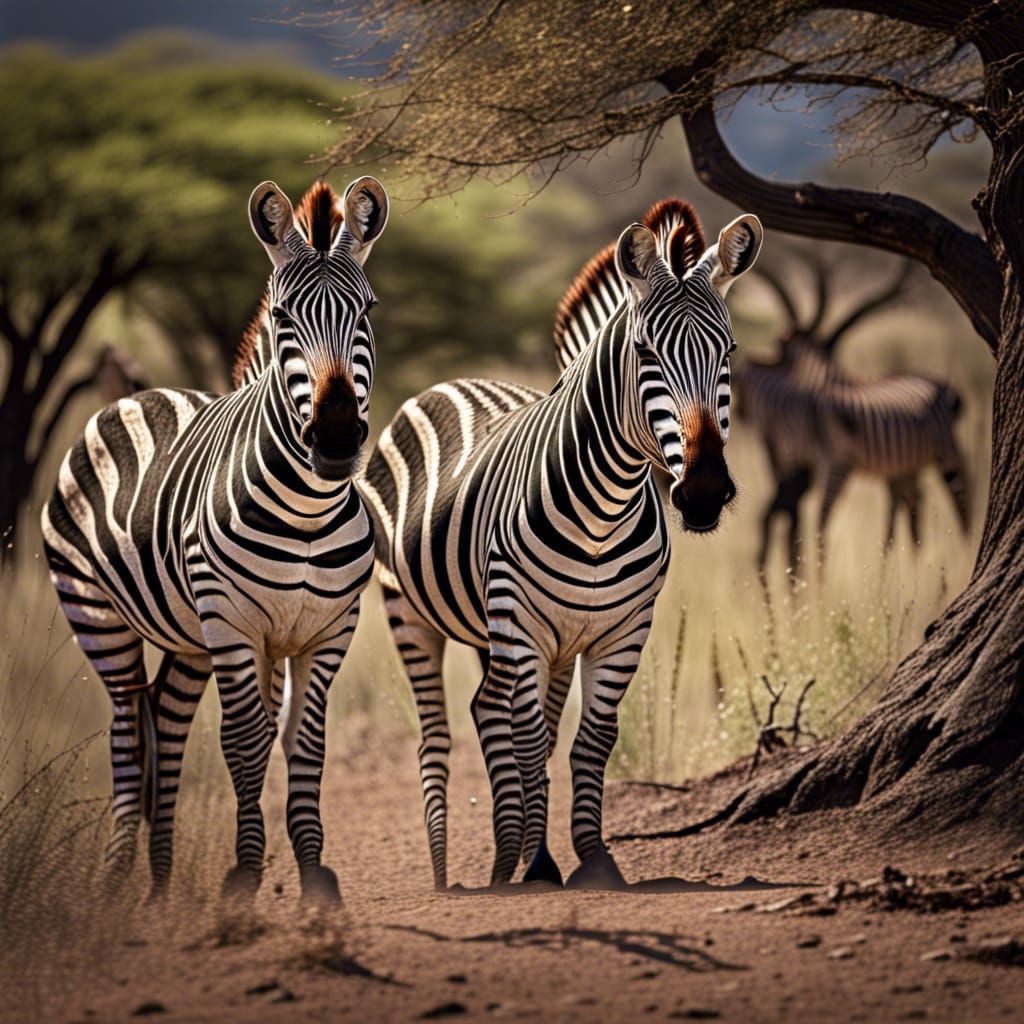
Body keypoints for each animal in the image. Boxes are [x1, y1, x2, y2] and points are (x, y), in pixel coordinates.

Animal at [41, 176, 389, 903]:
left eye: (368, 310)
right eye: (283, 318)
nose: (337, 438)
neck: (308, 510)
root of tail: (134, 396)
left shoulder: (328, 630)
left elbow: (305, 742)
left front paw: (313, 872)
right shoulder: (234, 624)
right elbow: (245, 740)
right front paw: (246, 873)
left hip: (185, 639)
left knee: (166, 724)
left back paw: (160, 882)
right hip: (96, 613)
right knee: (128, 728)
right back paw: (117, 879)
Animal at [358, 204, 762, 891]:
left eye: (728, 351)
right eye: (644, 351)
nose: (705, 490)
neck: (602, 510)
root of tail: (450, 383)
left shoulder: (619, 632)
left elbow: (586, 739)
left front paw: (589, 858)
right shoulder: (522, 626)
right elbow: (528, 740)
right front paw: (543, 863)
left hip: (515, 633)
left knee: (488, 709)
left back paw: (505, 856)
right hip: (411, 613)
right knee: (440, 736)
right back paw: (449, 871)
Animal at [732, 258, 969, 572]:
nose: (740, 414)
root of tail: (944, 384)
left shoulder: (832, 465)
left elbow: (817, 522)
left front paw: (816, 579)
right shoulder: (797, 466)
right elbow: (793, 517)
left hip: (944, 451)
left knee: (959, 498)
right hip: (906, 464)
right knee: (914, 503)